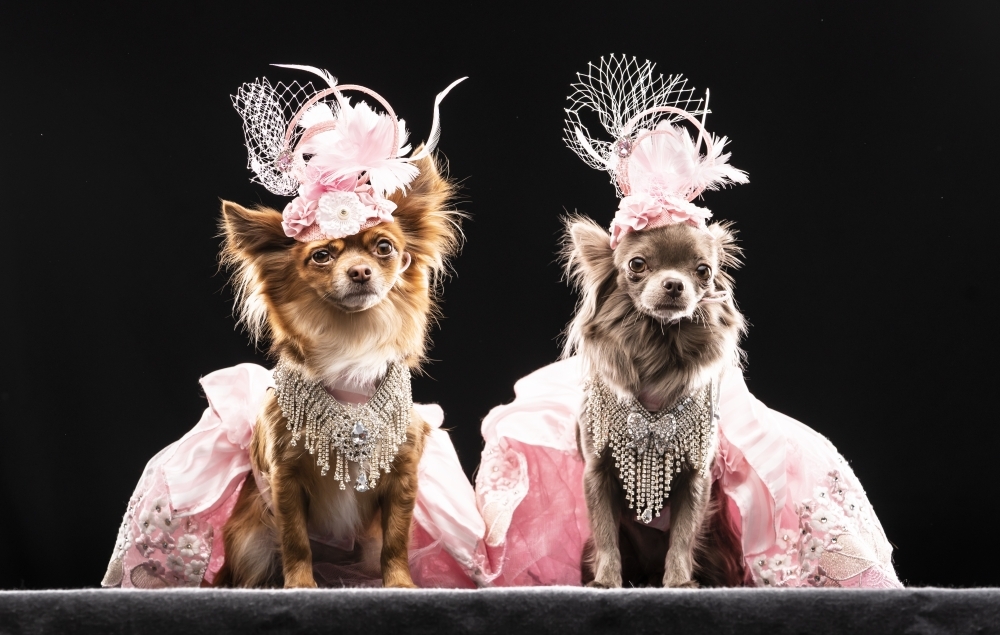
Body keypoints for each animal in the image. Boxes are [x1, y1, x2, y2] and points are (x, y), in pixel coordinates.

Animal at [212, 156, 460, 588]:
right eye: (322, 256)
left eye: (384, 248)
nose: (360, 271)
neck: (351, 351)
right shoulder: (285, 478)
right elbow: (295, 541)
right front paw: (300, 585)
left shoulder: (402, 478)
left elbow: (397, 540)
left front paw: (400, 583)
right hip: (250, 540)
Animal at [565, 216, 747, 588]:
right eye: (637, 264)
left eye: (703, 270)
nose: (674, 284)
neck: (658, 346)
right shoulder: (597, 473)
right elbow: (606, 534)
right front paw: (606, 580)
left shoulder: (696, 478)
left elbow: (682, 537)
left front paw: (678, 582)